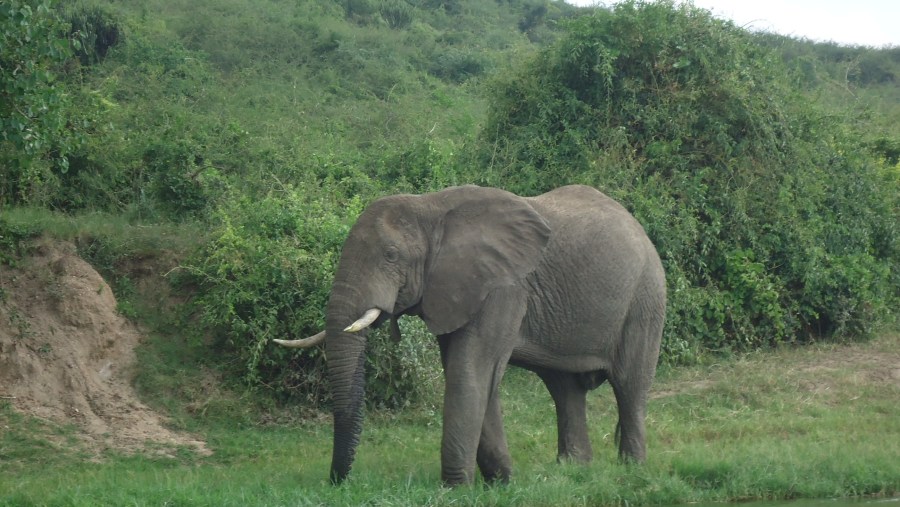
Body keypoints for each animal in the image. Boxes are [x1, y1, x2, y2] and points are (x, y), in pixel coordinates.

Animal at [276, 185, 668, 486]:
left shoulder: (504, 289)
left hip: (645, 298)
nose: (336, 483)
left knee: (629, 386)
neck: (429, 208)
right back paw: (573, 471)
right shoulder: (451, 290)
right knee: (565, 389)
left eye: (390, 255)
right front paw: (502, 482)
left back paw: (632, 471)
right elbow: (468, 371)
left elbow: (471, 369)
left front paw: (456, 488)